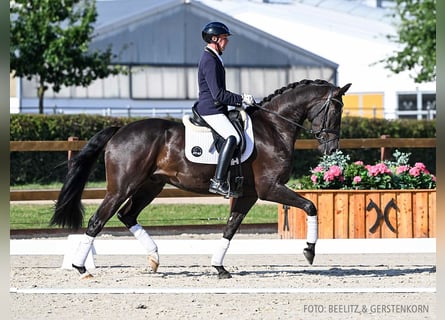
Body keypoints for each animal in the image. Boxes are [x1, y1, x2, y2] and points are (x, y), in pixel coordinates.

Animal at [50, 79, 350, 278]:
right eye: (335, 110)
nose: (330, 149)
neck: (273, 128)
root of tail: (120, 131)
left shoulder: (249, 194)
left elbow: (230, 228)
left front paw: (219, 267)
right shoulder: (270, 188)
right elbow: (310, 206)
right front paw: (309, 251)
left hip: (151, 185)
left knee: (127, 215)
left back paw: (154, 258)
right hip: (122, 187)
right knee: (98, 220)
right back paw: (81, 268)